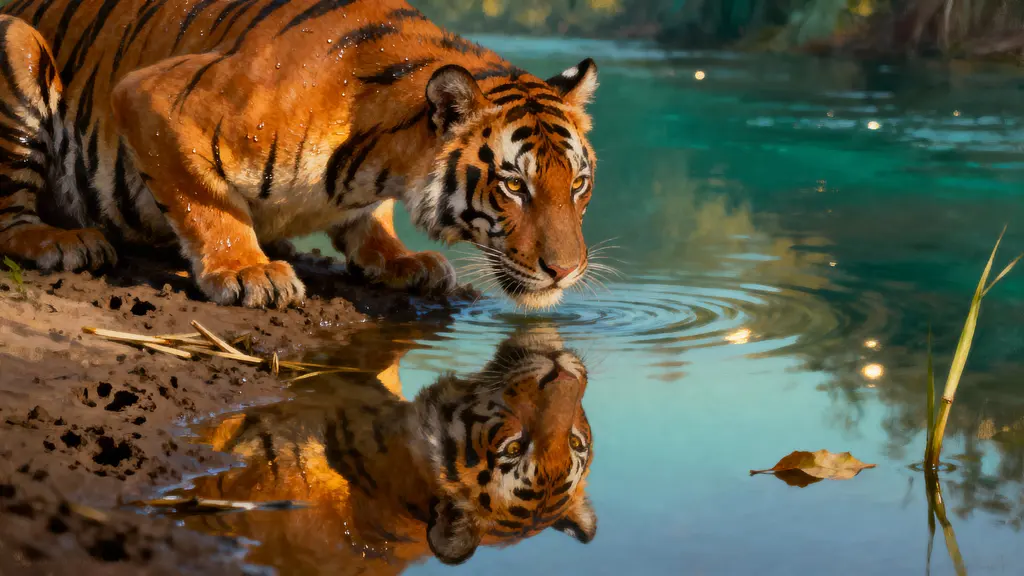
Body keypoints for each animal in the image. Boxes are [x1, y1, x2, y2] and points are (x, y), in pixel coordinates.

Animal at [0, 0, 599, 309]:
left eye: (577, 184)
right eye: (514, 185)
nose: (566, 271)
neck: (384, 164)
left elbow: (369, 220)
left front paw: (402, 259)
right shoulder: (151, 96)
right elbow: (205, 203)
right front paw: (248, 271)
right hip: (16, 46)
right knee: (12, 222)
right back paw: (66, 242)